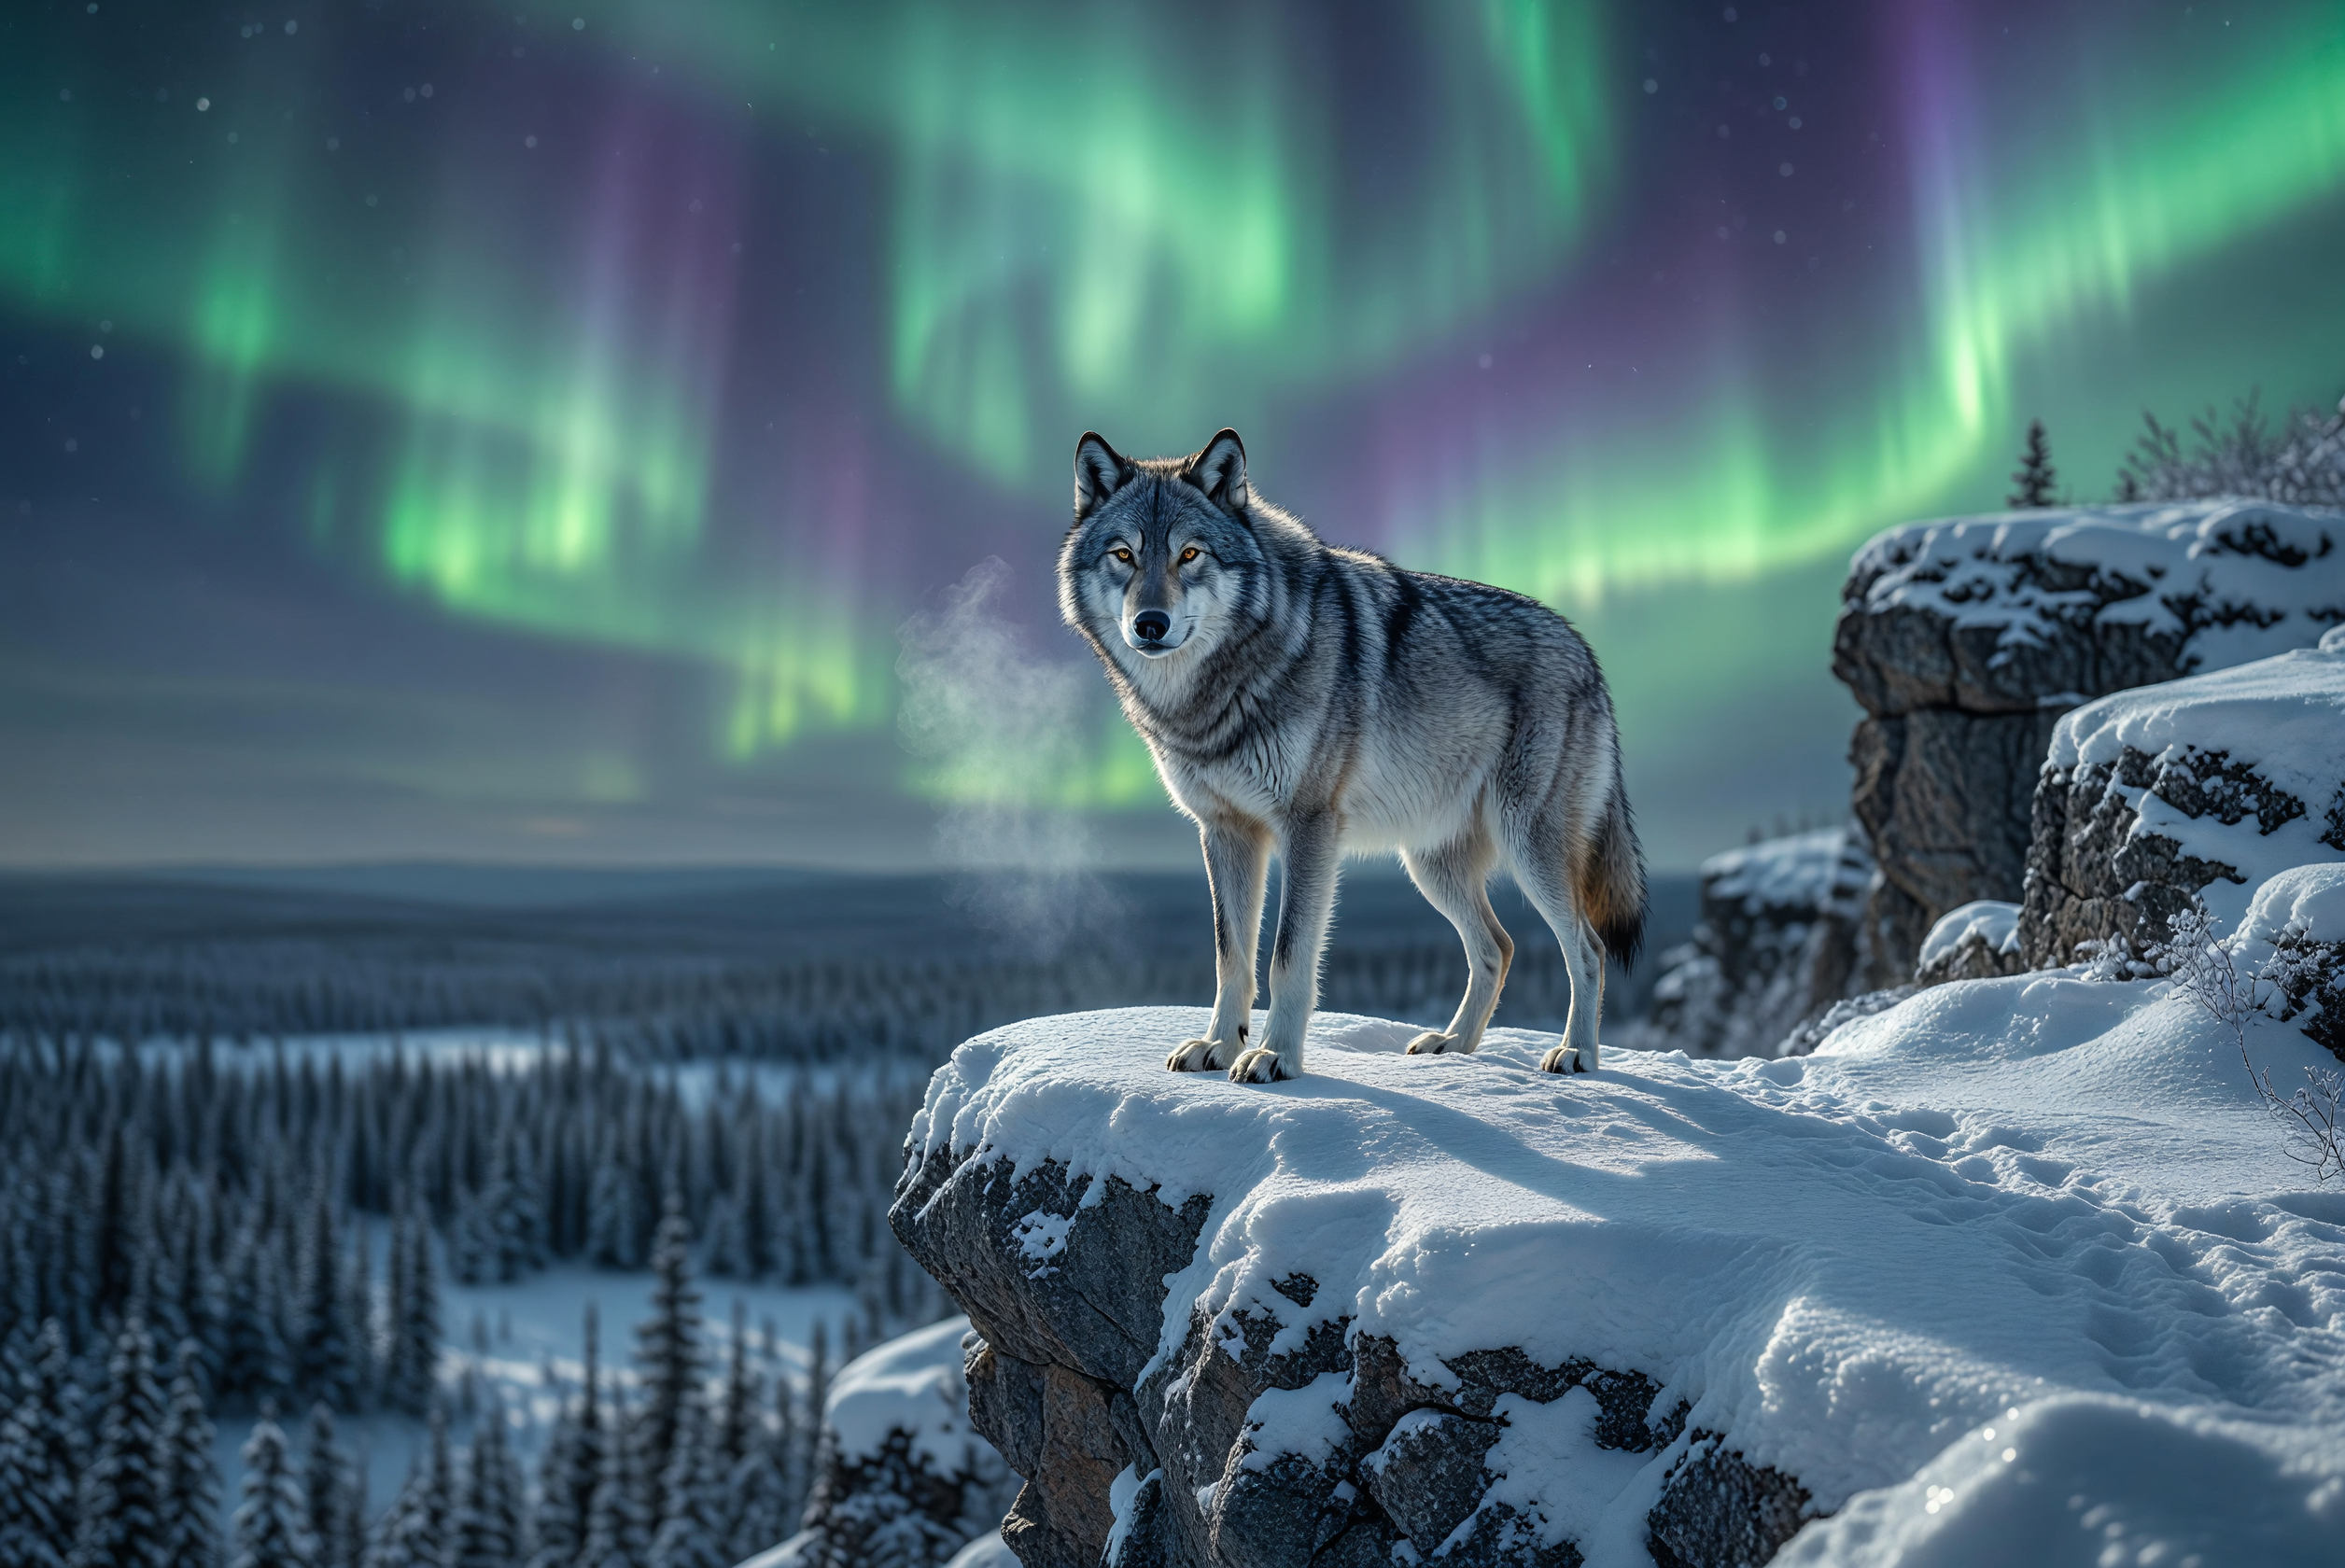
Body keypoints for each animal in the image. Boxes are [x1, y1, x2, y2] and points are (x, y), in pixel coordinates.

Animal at [1058, 428, 1645, 1083]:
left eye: (1189, 555)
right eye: (1124, 555)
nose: (1150, 624)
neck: (1219, 692)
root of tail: (1586, 651)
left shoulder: (1308, 826)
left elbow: (1288, 956)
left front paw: (1274, 1058)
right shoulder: (1225, 831)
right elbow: (1230, 957)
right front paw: (1220, 1046)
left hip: (1527, 846)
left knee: (1587, 948)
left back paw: (1577, 1054)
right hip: (1430, 864)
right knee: (1498, 946)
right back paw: (1452, 1046)